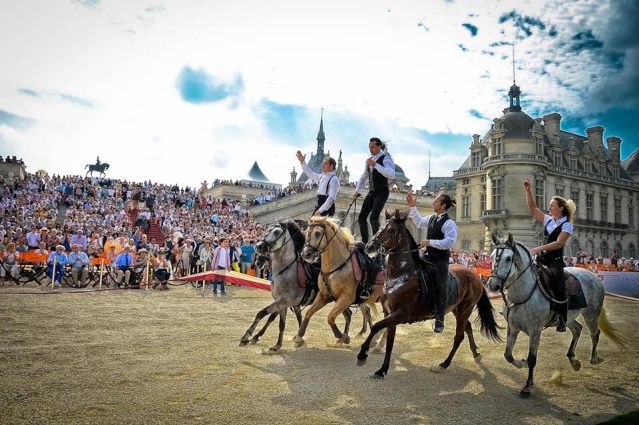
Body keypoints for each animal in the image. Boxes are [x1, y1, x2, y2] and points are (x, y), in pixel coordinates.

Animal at [238, 219, 372, 352]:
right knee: (350, 314)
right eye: (266, 231)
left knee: (363, 311)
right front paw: (279, 343)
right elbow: (282, 322)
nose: (259, 247)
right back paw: (346, 337)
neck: (286, 268)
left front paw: (247, 337)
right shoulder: (285, 303)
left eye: (276, 232)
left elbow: (264, 314)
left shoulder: (284, 301)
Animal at [296, 215, 384, 348]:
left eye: (317, 233)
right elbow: (309, 312)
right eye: (306, 233)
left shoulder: (346, 298)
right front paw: (299, 337)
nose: (306, 253)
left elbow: (331, 317)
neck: (338, 265)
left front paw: (341, 336)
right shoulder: (325, 295)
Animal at [358, 209, 502, 378]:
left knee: (459, 336)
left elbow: (376, 327)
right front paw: (382, 370)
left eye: (391, 230)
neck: (401, 275)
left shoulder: (401, 314)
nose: (370, 246)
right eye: (380, 227)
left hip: (465, 309)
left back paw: (444, 364)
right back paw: (476, 354)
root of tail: (475, 276)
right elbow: (389, 342)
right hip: (457, 309)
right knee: (467, 328)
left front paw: (362, 354)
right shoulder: (389, 313)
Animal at [488, 232, 628, 398]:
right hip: (568, 317)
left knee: (595, 333)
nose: (493, 285)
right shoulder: (513, 328)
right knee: (577, 329)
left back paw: (594, 358)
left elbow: (532, 359)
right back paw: (574, 361)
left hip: (591, 314)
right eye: (491, 256)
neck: (523, 293)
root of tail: (592, 275)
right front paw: (521, 362)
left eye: (509, 258)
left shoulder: (535, 331)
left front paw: (527, 386)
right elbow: (508, 355)